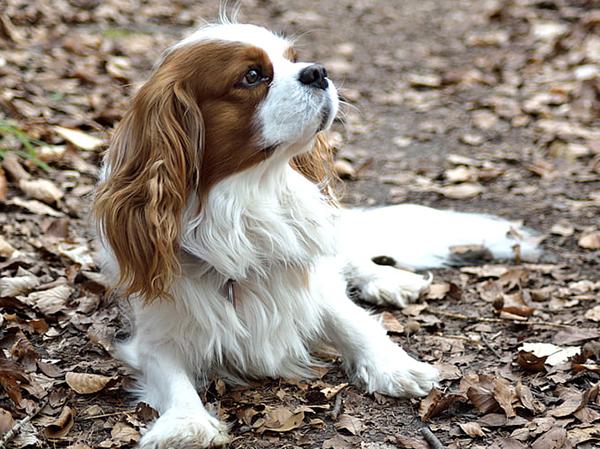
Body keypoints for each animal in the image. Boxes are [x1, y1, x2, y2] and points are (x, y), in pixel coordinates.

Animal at [92, 20, 540, 444]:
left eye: (293, 59)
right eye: (252, 76)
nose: (318, 71)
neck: (247, 202)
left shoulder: (314, 286)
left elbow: (354, 322)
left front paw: (396, 366)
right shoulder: (156, 335)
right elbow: (173, 378)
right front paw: (187, 423)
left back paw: (388, 280)